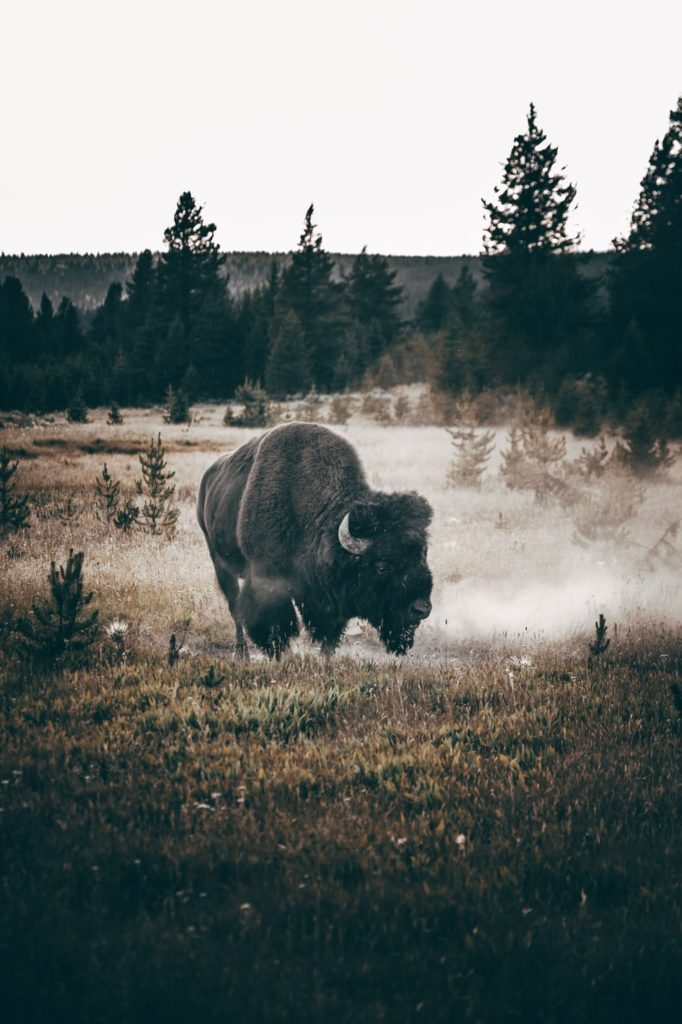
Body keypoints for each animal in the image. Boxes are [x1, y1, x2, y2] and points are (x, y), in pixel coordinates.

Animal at [195, 421, 430, 655]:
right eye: (381, 566)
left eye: (421, 556)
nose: (421, 609)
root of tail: (207, 480)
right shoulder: (269, 583)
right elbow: (275, 628)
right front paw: (279, 656)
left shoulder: (328, 602)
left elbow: (328, 637)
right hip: (219, 561)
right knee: (235, 607)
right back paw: (242, 654)